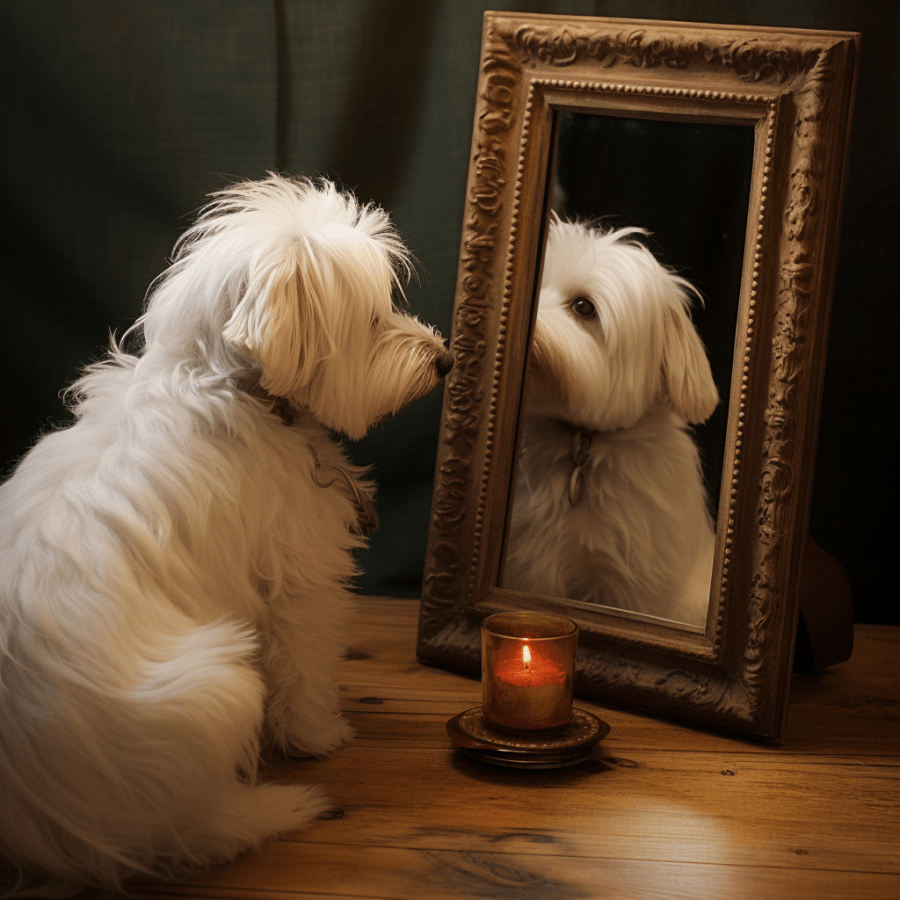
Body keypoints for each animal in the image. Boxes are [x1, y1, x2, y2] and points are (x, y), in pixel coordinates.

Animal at [0, 174, 454, 892]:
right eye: (373, 317)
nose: (446, 360)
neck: (240, 387)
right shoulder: (299, 579)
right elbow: (303, 668)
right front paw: (319, 736)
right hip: (219, 684)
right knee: (185, 835)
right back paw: (275, 809)